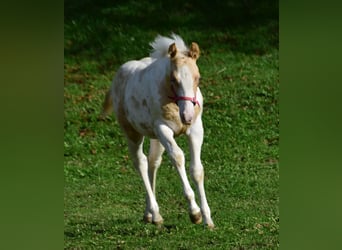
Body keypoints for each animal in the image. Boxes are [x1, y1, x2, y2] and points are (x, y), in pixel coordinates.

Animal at [101, 33, 214, 229]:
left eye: (198, 78)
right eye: (174, 79)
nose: (187, 116)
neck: (175, 105)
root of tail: (119, 74)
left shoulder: (195, 130)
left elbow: (197, 170)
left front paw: (207, 218)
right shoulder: (163, 129)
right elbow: (178, 157)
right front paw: (194, 213)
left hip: (154, 136)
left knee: (153, 162)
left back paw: (149, 214)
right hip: (133, 132)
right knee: (140, 162)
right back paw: (155, 213)